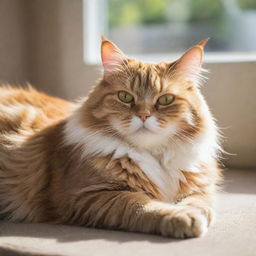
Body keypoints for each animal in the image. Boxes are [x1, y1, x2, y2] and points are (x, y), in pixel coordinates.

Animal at [0, 37, 222, 238]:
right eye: (125, 97)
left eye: (165, 99)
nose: (143, 115)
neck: (154, 156)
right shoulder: (89, 195)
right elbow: (141, 206)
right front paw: (182, 217)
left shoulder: (199, 186)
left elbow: (198, 200)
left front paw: (198, 212)